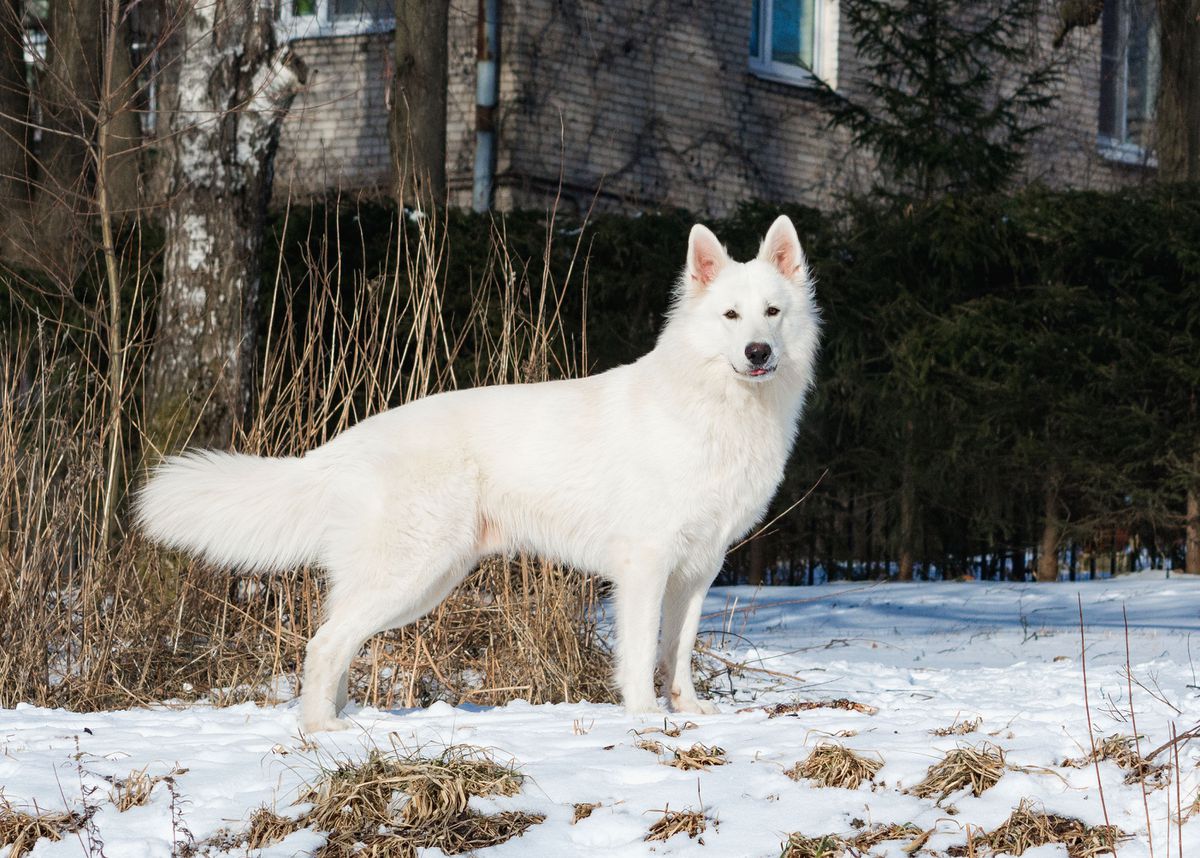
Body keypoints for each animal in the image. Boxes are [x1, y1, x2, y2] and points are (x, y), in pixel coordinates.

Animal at [136, 214, 820, 729]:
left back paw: (343, 719)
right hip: (413, 573)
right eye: (730, 317)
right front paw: (647, 718)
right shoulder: (645, 566)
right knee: (322, 644)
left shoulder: (697, 572)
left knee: (336, 643)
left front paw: (689, 712)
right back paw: (324, 731)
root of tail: (345, 445)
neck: (715, 405)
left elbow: (677, 653)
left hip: (425, 581)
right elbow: (640, 654)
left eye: (772, 312)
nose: (758, 352)